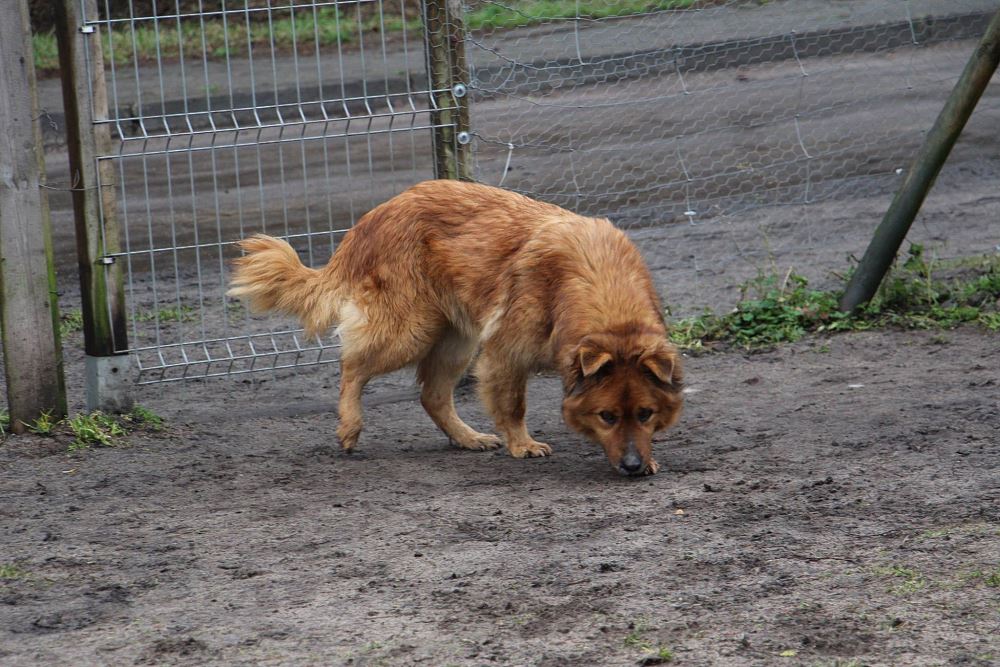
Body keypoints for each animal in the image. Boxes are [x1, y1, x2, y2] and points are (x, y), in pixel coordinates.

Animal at [228, 180, 683, 475]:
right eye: (606, 416)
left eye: (645, 413)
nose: (633, 467)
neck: (599, 287)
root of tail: (373, 217)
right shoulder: (505, 353)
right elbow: (513, 405)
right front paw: (522, 445)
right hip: (410, 330)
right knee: (352, 366)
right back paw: (349, 426)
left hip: (455, 339)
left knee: (431, 395)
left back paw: (467, 437)